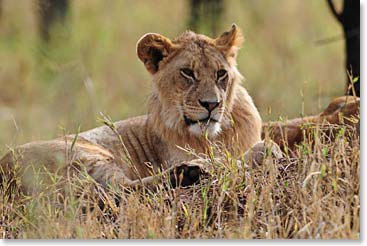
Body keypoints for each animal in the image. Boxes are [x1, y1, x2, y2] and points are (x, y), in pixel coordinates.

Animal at [0, 25, 362, 194]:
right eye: (187, 73)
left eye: (221, 74)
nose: (211, 105)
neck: (218, 134)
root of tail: (6, 171)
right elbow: (245, 154)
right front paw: (262, 152)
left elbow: (294, 124)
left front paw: (347, 108)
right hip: (87, 153)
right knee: (119, 189)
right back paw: (193, 172)